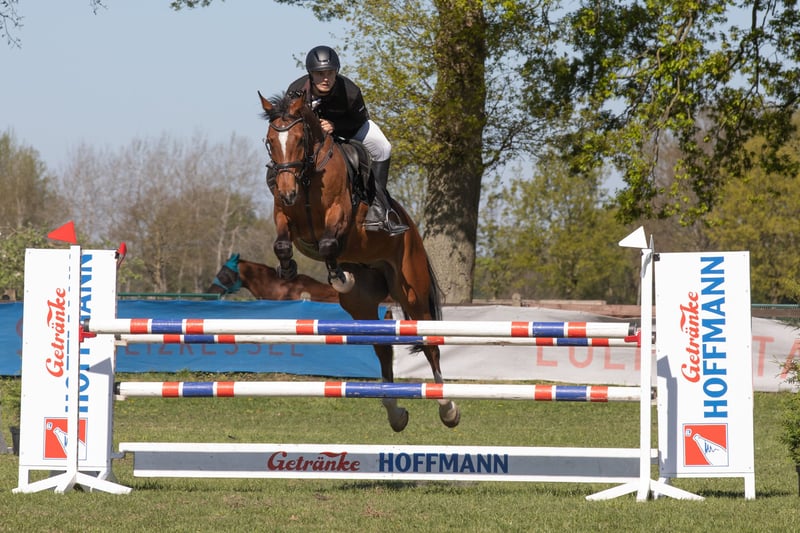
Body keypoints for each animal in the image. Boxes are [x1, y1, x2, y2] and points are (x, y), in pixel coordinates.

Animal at [258, 91, 460, 432]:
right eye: (271, 141)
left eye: (298, 140)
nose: (287, 192)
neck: (308, 176)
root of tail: (413, 230)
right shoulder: (285, 216)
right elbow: (283, 244)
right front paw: (288, 269)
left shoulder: (340, 216)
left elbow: (328, 243)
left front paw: (339, 276)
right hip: (362, 304)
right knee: (382, 346)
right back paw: (395, 413)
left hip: (413, 291)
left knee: (429, 342)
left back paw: (447, 407)